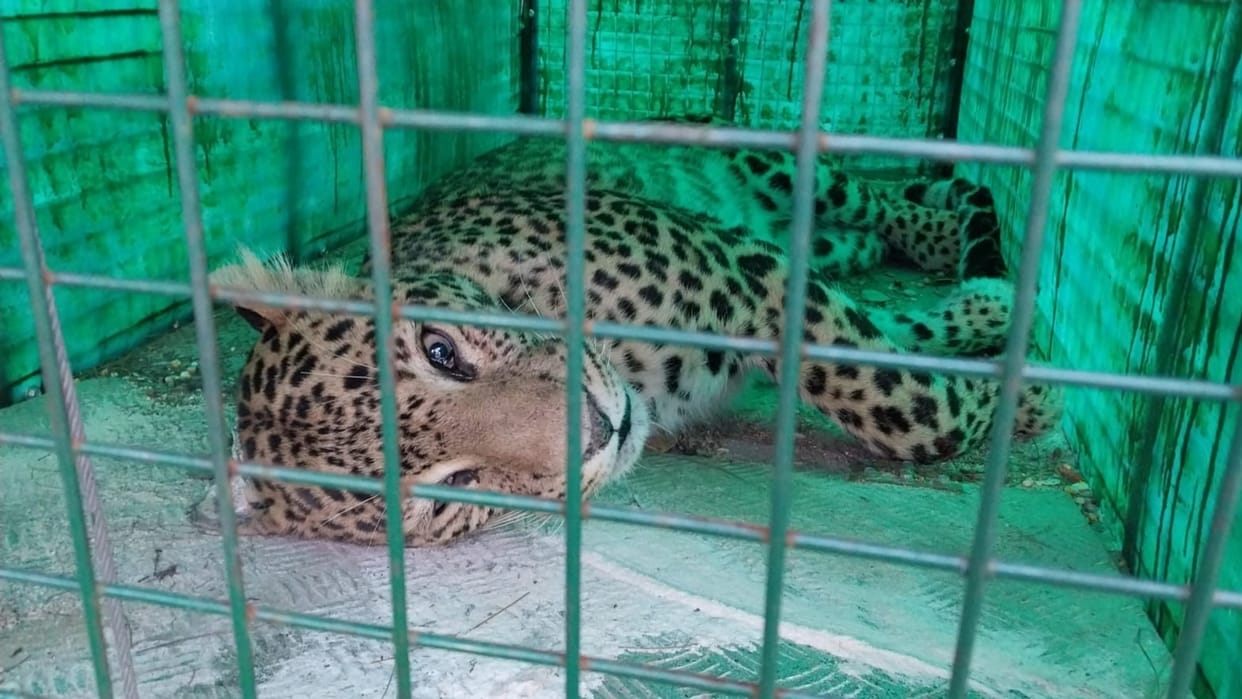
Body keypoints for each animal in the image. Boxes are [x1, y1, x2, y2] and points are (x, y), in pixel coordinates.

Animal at [202, 119, 1061, 547]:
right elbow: (898, 384)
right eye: (456, 491)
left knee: (885, 198)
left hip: (777, 171)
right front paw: (1025, 391)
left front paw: (1032, 397)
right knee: (875, 260)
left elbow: (900, 401)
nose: (601, 427)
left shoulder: (743, 266)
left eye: (443, 350)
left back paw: (975, 261)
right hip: (816, 239)